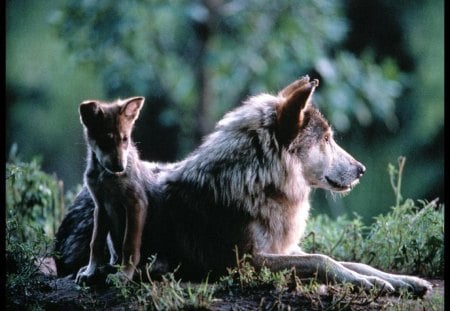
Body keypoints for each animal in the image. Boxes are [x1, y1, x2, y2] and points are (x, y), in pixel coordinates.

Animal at [54, 77, 430, 296]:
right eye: (326, 139)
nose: (362, 169)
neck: (258, 183)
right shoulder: (246, 262)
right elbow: (323, 260)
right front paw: (370, 283)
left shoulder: (282, 249)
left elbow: (353, 262)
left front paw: (400, 281)